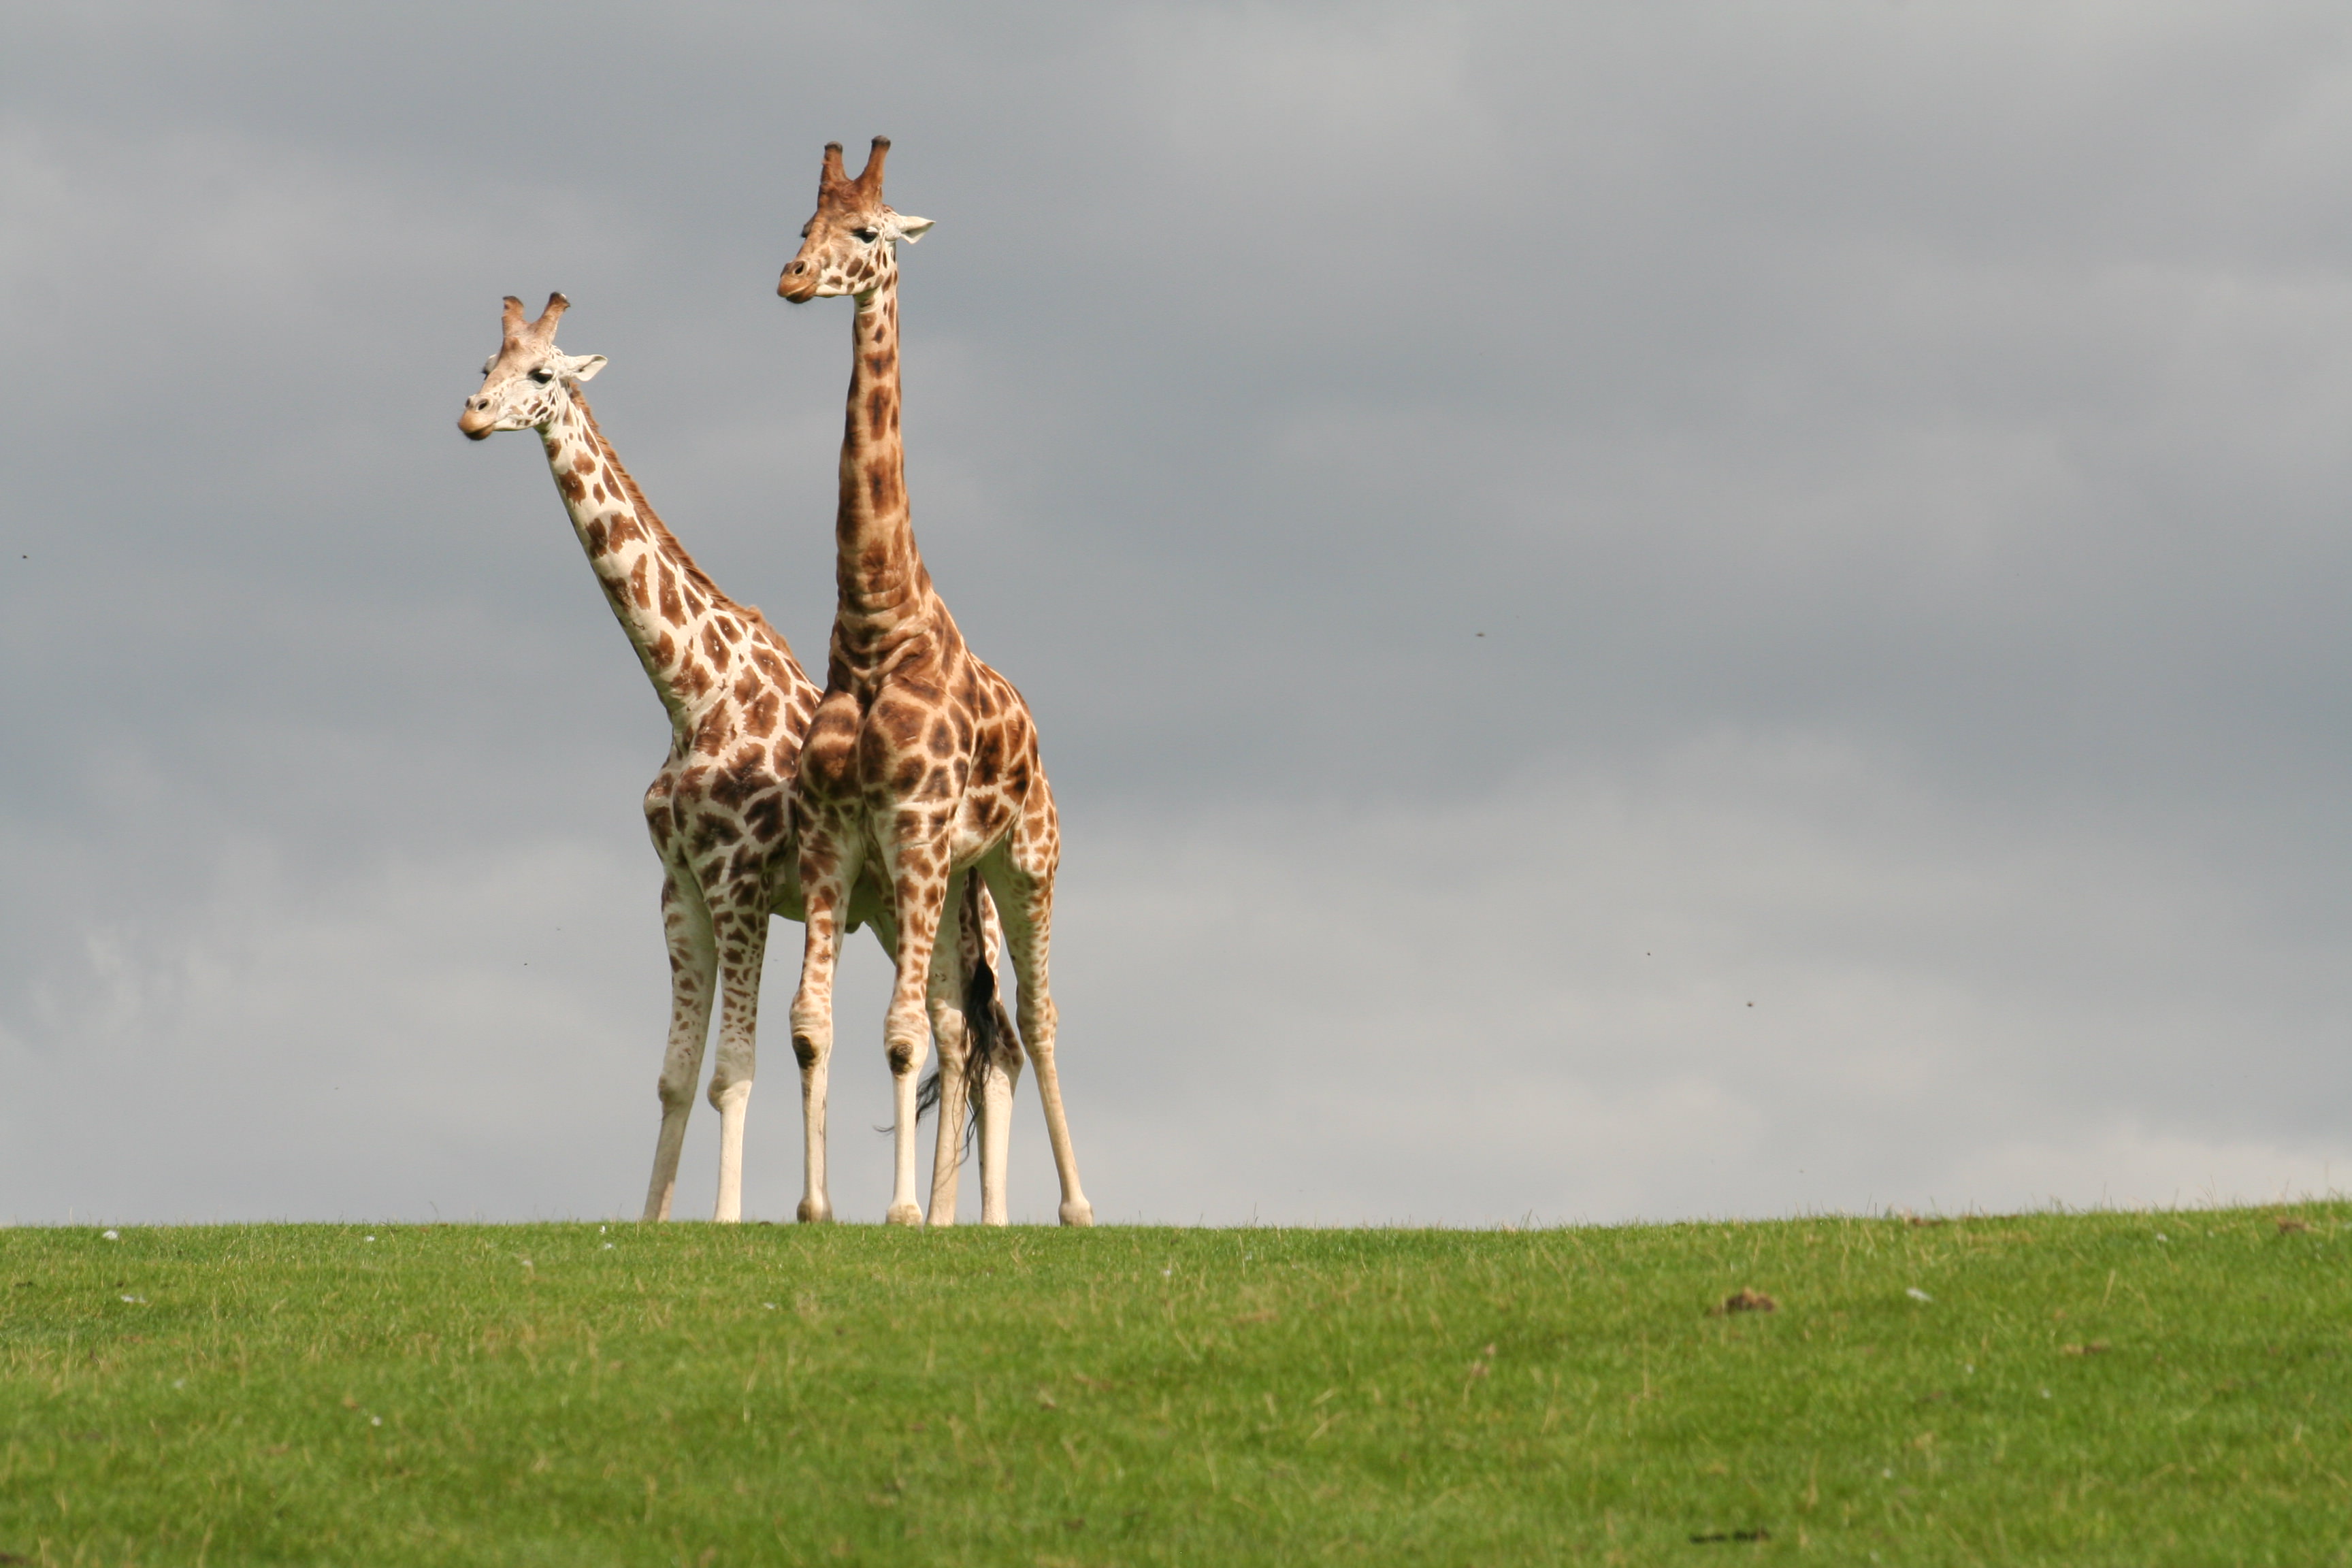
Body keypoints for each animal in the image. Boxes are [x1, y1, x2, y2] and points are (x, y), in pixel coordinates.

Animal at [456, 291, 1015, 1224]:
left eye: (541, 373)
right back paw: (944, 1219)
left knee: (990, 1042)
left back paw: (976, 1219)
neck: (691, 690)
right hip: (912, 915)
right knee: (956, 1032)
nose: (471, 414)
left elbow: (732, 1073)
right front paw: (654, 1219)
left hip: (956, 913)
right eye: (483, 366)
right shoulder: (678, 888)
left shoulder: (738, 882)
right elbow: (675, 1078)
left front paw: (725, 1217)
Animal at [777, 138, 1094, 1229]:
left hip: (1024, 863)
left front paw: (901, 1212)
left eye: (868, 232)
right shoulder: (838, 836)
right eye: (803, 225)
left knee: (1037, 1015)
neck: (877, 633)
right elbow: (815, 1024)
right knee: (968, 1023)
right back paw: (965, 1218)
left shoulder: (911, 826)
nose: (793, 279)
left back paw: (1074, 1208)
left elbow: (900, 1032)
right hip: (956, 880)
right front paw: (820, 1208)